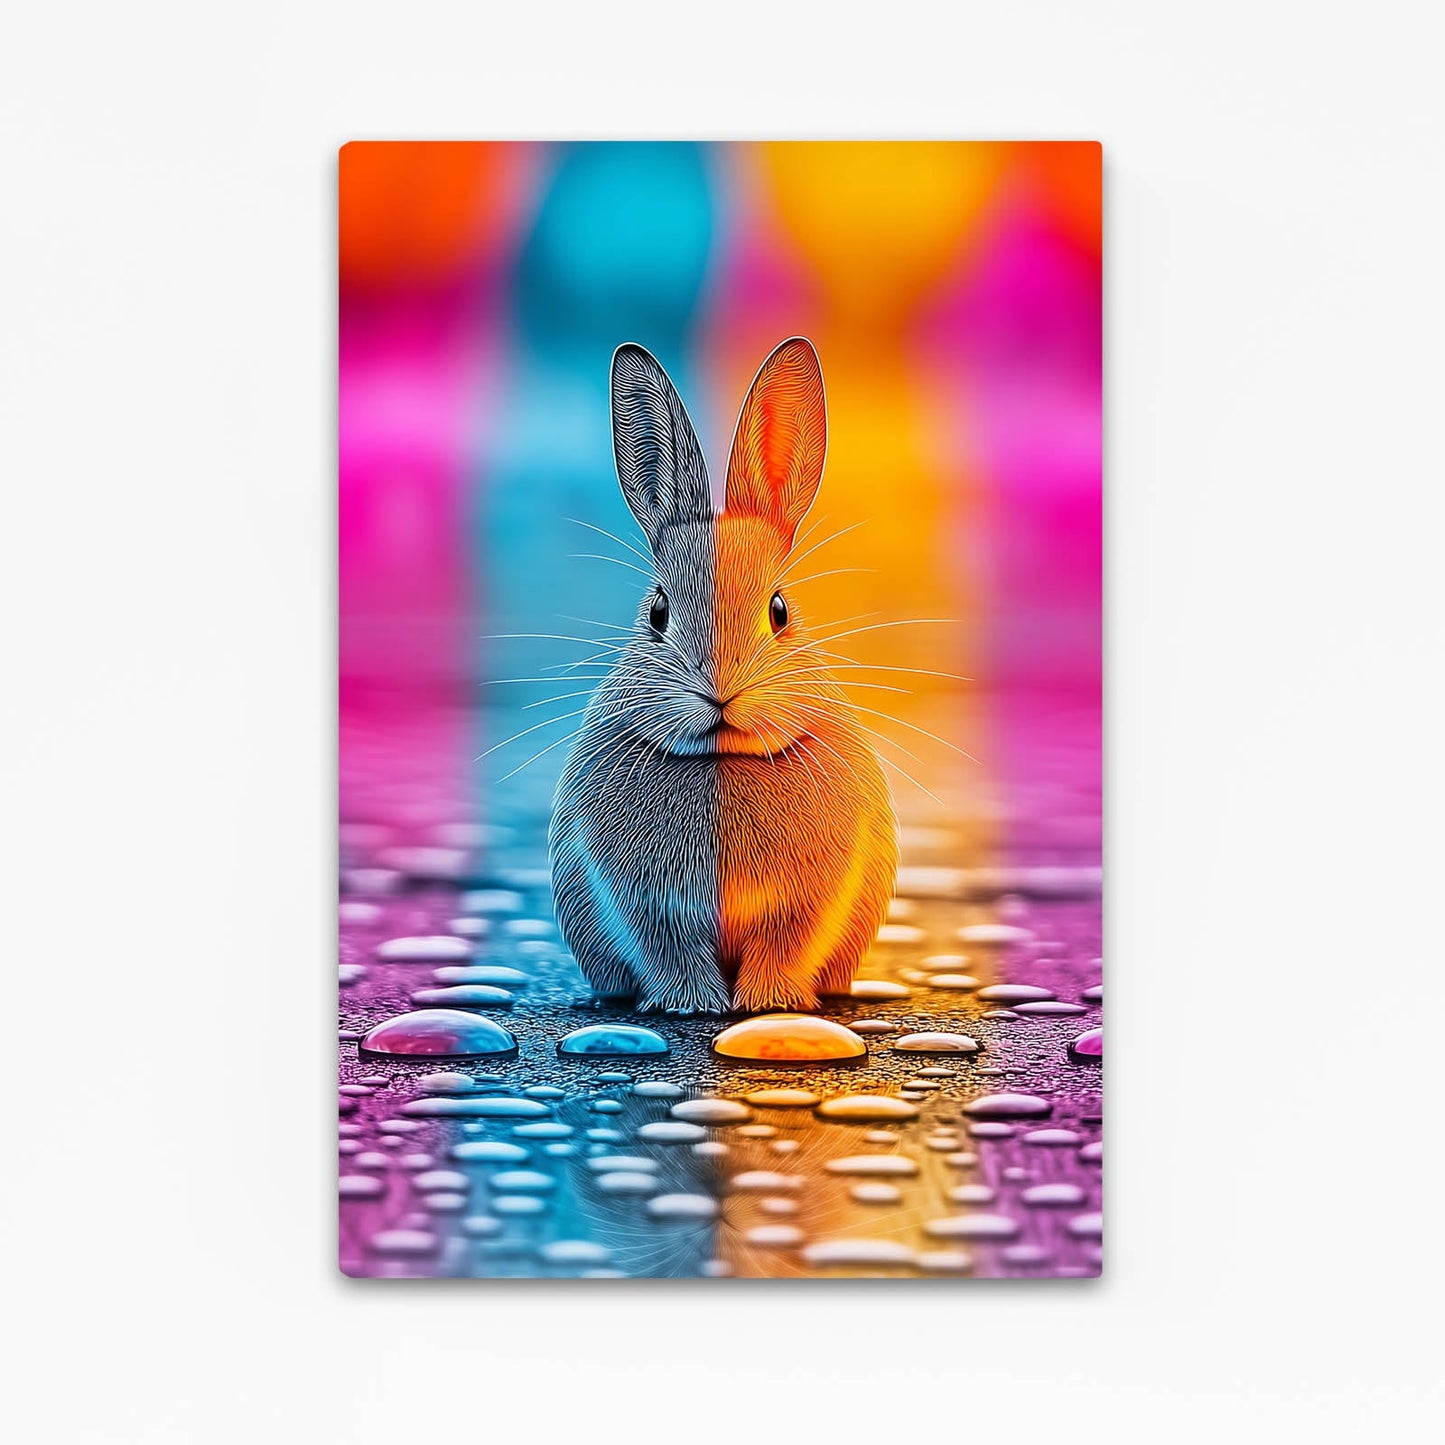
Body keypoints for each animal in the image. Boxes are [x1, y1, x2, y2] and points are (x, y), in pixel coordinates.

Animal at [549, 337, 899, 1015]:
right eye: (657, 612)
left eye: (780, 610)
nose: (719, 689)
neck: (724, 756)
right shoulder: (650, 906)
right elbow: (671, 950)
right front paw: (695, 1004)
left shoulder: (806, 903)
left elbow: (783, 946)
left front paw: (767, 1003)